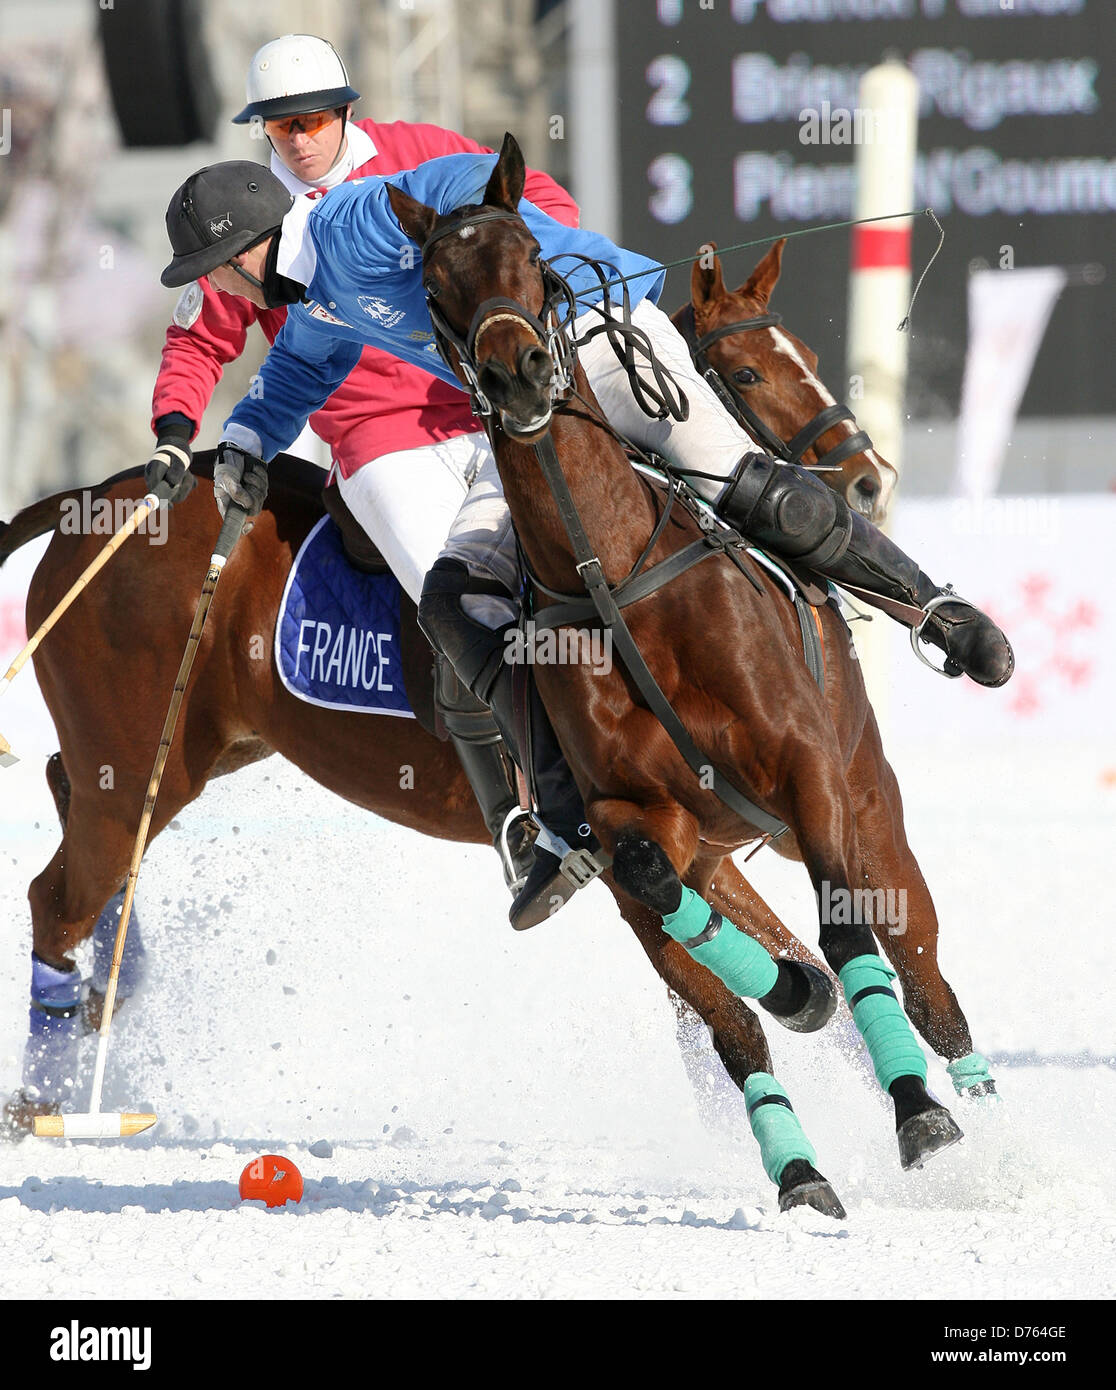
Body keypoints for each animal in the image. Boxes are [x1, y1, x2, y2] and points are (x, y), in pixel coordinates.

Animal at [2, 233, 983, 1223]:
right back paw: (47, 1098)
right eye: (743, 372)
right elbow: (758, 998)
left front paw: (957, 1122)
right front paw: (849, 1135)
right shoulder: (640, 846)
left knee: (66, 801)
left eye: (808, 359)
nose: (865, 480)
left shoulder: (814, 808)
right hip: (136, 768)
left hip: (185, 758)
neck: (632, 583)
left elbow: (887, 961)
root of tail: (94, 497)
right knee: (56, 895)